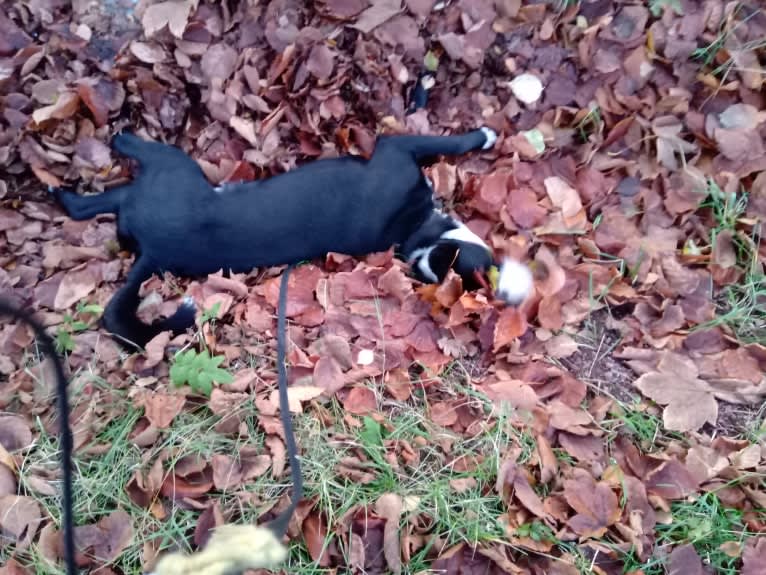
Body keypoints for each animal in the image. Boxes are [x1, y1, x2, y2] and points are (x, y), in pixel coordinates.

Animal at [52, 127, 536, 348]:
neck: (414, 227)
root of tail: (154, 249)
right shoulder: (397, 144)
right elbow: (447, 142)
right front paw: (483, 135)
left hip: (165, 178)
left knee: (99, 199)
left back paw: (89, 169)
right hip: (171, 174)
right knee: (101, 192)